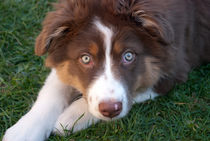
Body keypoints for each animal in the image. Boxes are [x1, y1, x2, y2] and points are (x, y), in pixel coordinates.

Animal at [3, 0, 210, 140]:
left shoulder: (175, 66)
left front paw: (70, 118)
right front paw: (24, 131)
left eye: (129, 56)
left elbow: (135, 91)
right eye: (86, 58)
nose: (110, 110)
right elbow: (54, 88)